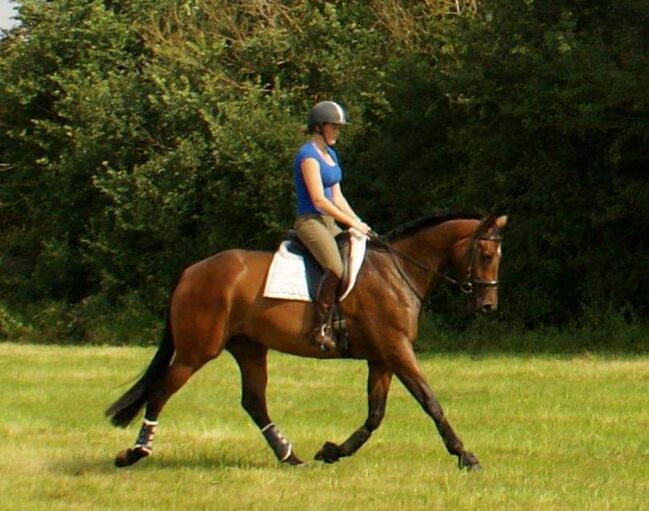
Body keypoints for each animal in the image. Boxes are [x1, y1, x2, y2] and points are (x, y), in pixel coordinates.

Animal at [104, 213, 506, 472]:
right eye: (486, 255)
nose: (488, 306)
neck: (399, 270)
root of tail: (191, 271)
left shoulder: (382, 356)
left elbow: (375, 415)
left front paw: (332, 451)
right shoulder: (396, 349)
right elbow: (429, 401)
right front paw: (465, 456)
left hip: (248, 347)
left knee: (254, 401)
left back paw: (289, 456)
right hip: (196, 351)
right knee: (160, 392)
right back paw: (134, 453)